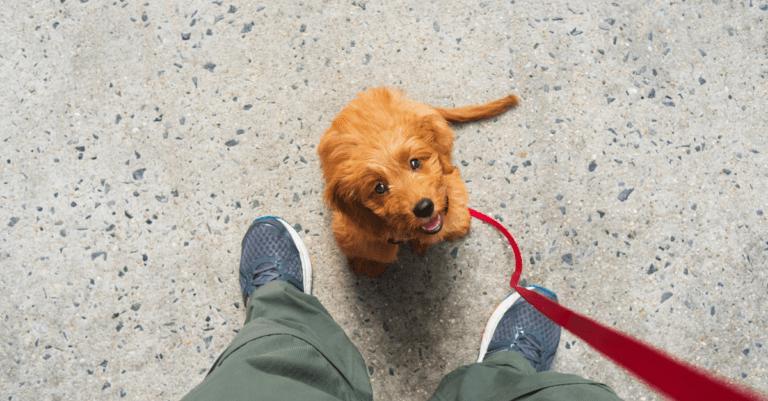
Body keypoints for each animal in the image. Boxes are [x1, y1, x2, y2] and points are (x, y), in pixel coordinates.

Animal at [316, 87, 520, 276]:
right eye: (379, 188)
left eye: (415, 163)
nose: (424, 208)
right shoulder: (355, 230)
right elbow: (369, 251)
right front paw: (367, 264)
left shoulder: (450, 187)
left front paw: (456, 226)